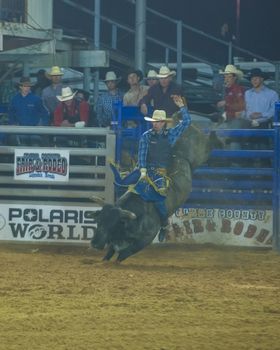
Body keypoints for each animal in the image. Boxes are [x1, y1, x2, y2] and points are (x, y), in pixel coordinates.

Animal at [91, 124, 220, 262]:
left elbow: (124, 253)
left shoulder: (146, 239)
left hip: (201, 152)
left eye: (112, 224)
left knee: (209, 144)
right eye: (98, 221)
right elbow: (110, 252)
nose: (94, 243)